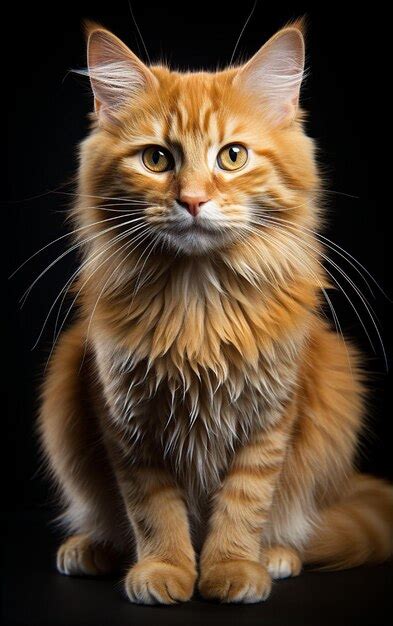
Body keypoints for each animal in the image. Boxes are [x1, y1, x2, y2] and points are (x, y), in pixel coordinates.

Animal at [39, 22, 392, 604]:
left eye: (232, 157)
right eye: (156, 159)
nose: (193, 200)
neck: (198, 300)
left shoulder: (270, 415)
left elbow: (245, 502)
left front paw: (231, 568)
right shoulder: (127, 419)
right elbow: (153, 510)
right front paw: (165, 569)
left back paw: (276, 556)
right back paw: (93, 549)